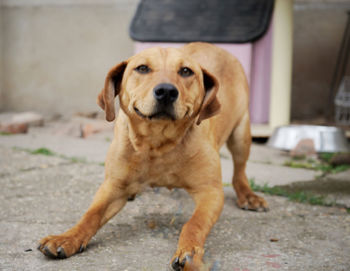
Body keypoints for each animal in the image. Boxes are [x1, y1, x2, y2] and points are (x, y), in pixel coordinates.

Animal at [38, 42, 266, 271]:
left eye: (186, 71)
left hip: (241, 134)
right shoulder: (113, 186)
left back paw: (248, 195)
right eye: (142, 68)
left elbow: (194, 223)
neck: (157, 143)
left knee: (239, 170)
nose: (166, 91)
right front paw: (68, 237)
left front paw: (190, 251)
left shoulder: (210, 192)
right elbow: (90, 215)